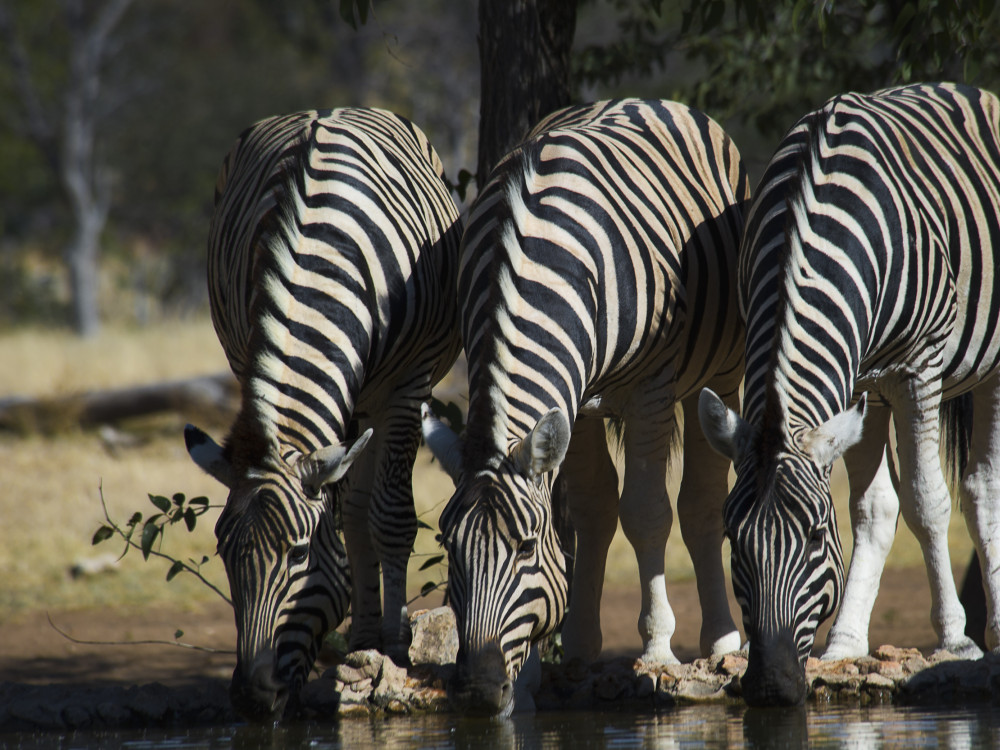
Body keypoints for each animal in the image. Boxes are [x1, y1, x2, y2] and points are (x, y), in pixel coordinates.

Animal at [183, 107, 462, 720]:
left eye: (297, 554)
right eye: (223, 553)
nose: (251, 699)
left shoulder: (406, 387)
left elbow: (392, 517)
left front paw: (397, 650)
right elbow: (351, 514)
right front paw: (369, 643)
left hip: (377, 397)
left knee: (366, 507)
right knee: (351, 509)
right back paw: (362, 637)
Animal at [422, 98, 750, 715]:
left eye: (525, 548)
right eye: (448, 547)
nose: (478, 691)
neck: (526, 252)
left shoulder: (650, 388)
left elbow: (647, 513)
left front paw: (658, 651)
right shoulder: (570, 402)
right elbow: (590, 511)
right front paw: (538, 668)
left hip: (718, 375)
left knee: (700, 505)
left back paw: (720, 642)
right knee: (599, 509)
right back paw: (578, 649)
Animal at [699, 82, 1000, 706]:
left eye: (816, 536)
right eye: (733, 539)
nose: (770, 687)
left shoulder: (916, 367)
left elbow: (926, 500)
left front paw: (956, 642)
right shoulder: (856, 379)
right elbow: (871, 507)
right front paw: (842, 648)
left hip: (986, 366)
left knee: (982, 486)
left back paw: (993, 630)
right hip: (876, 394)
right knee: (889, 502)